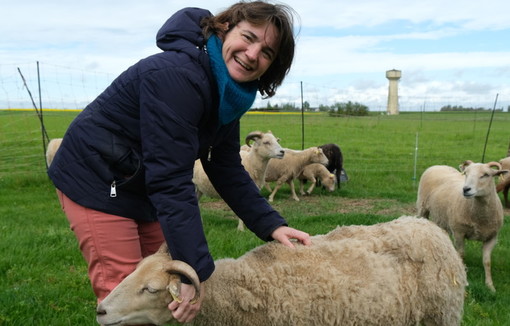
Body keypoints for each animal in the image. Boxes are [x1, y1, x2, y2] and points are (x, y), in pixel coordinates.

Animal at [416, 160, 508, 290]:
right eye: (466, 173)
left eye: (486, 175)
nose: (466, 189)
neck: (480, 218)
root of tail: (438, 165)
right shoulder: (459, 232)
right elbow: (461, 255)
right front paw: (464, 279)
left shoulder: (492, 237)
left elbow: (487, 261)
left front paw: (490, 286)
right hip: (422, 207)